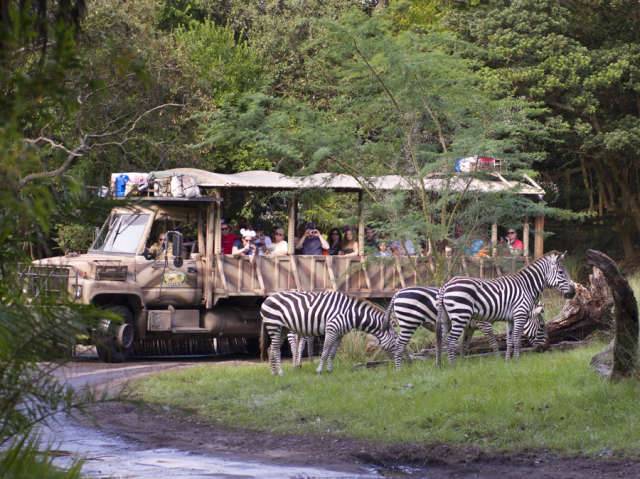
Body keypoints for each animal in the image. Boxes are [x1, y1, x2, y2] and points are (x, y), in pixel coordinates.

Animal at [260, 290, 396, 376]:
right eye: (395, 342)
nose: (394, 364)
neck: (350, 314)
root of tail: (268, 298)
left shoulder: (339, 334)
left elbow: (332, 354)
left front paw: (330, 370)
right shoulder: (331, 329)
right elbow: (325, 352)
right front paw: (319, 370)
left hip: (282, 328)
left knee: (271, 348)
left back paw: (273, 372)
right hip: (274, 326)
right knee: (276, 349)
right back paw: (280, 373)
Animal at [436, 251, 576, 368]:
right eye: (561, 272)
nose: (574, 292)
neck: (527, 287)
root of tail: (446, 285)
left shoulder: (510, 319)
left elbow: (509, 341)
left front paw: (508, 362)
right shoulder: (520, 315)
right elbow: (517, 339)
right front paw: (517, 361)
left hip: (446, 318)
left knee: (442, 339)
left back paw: (440, 365)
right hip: (460, 315)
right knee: (451, 340)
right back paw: (453, 367)